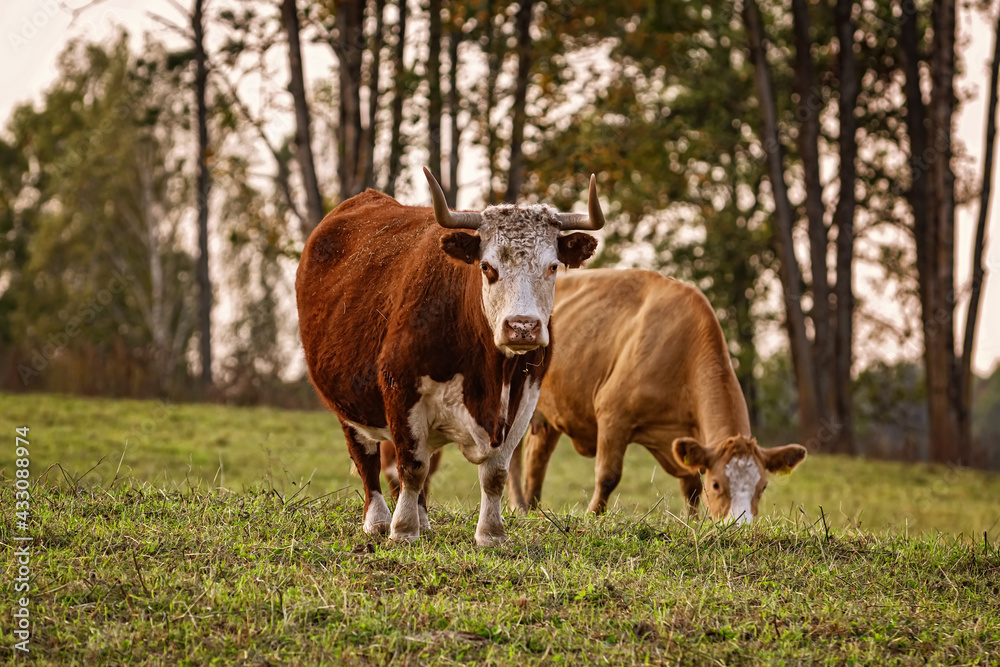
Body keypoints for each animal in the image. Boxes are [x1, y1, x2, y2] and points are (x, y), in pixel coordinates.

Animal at [294, 170, 600, 544]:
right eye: (487, 266)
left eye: (553, 266)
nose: (522, 327)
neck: (491, 376)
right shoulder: (400, 388)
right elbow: (411, 467)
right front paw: (403, 530)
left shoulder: (525, 396)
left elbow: (495, 473)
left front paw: (491, 534)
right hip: (347, 404)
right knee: (367, 459)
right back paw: (379, 521)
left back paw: (423, 519)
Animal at [512, 268, 808, 520]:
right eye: (717, 484)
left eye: (763, 486)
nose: (740, 525)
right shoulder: (612, 414)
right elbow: (607, 476)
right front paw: (592, 517)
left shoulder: (683, 436)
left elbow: (692, 486)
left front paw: (693, 522)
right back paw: (518, 508)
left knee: (536, 462)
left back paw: (532, 509)